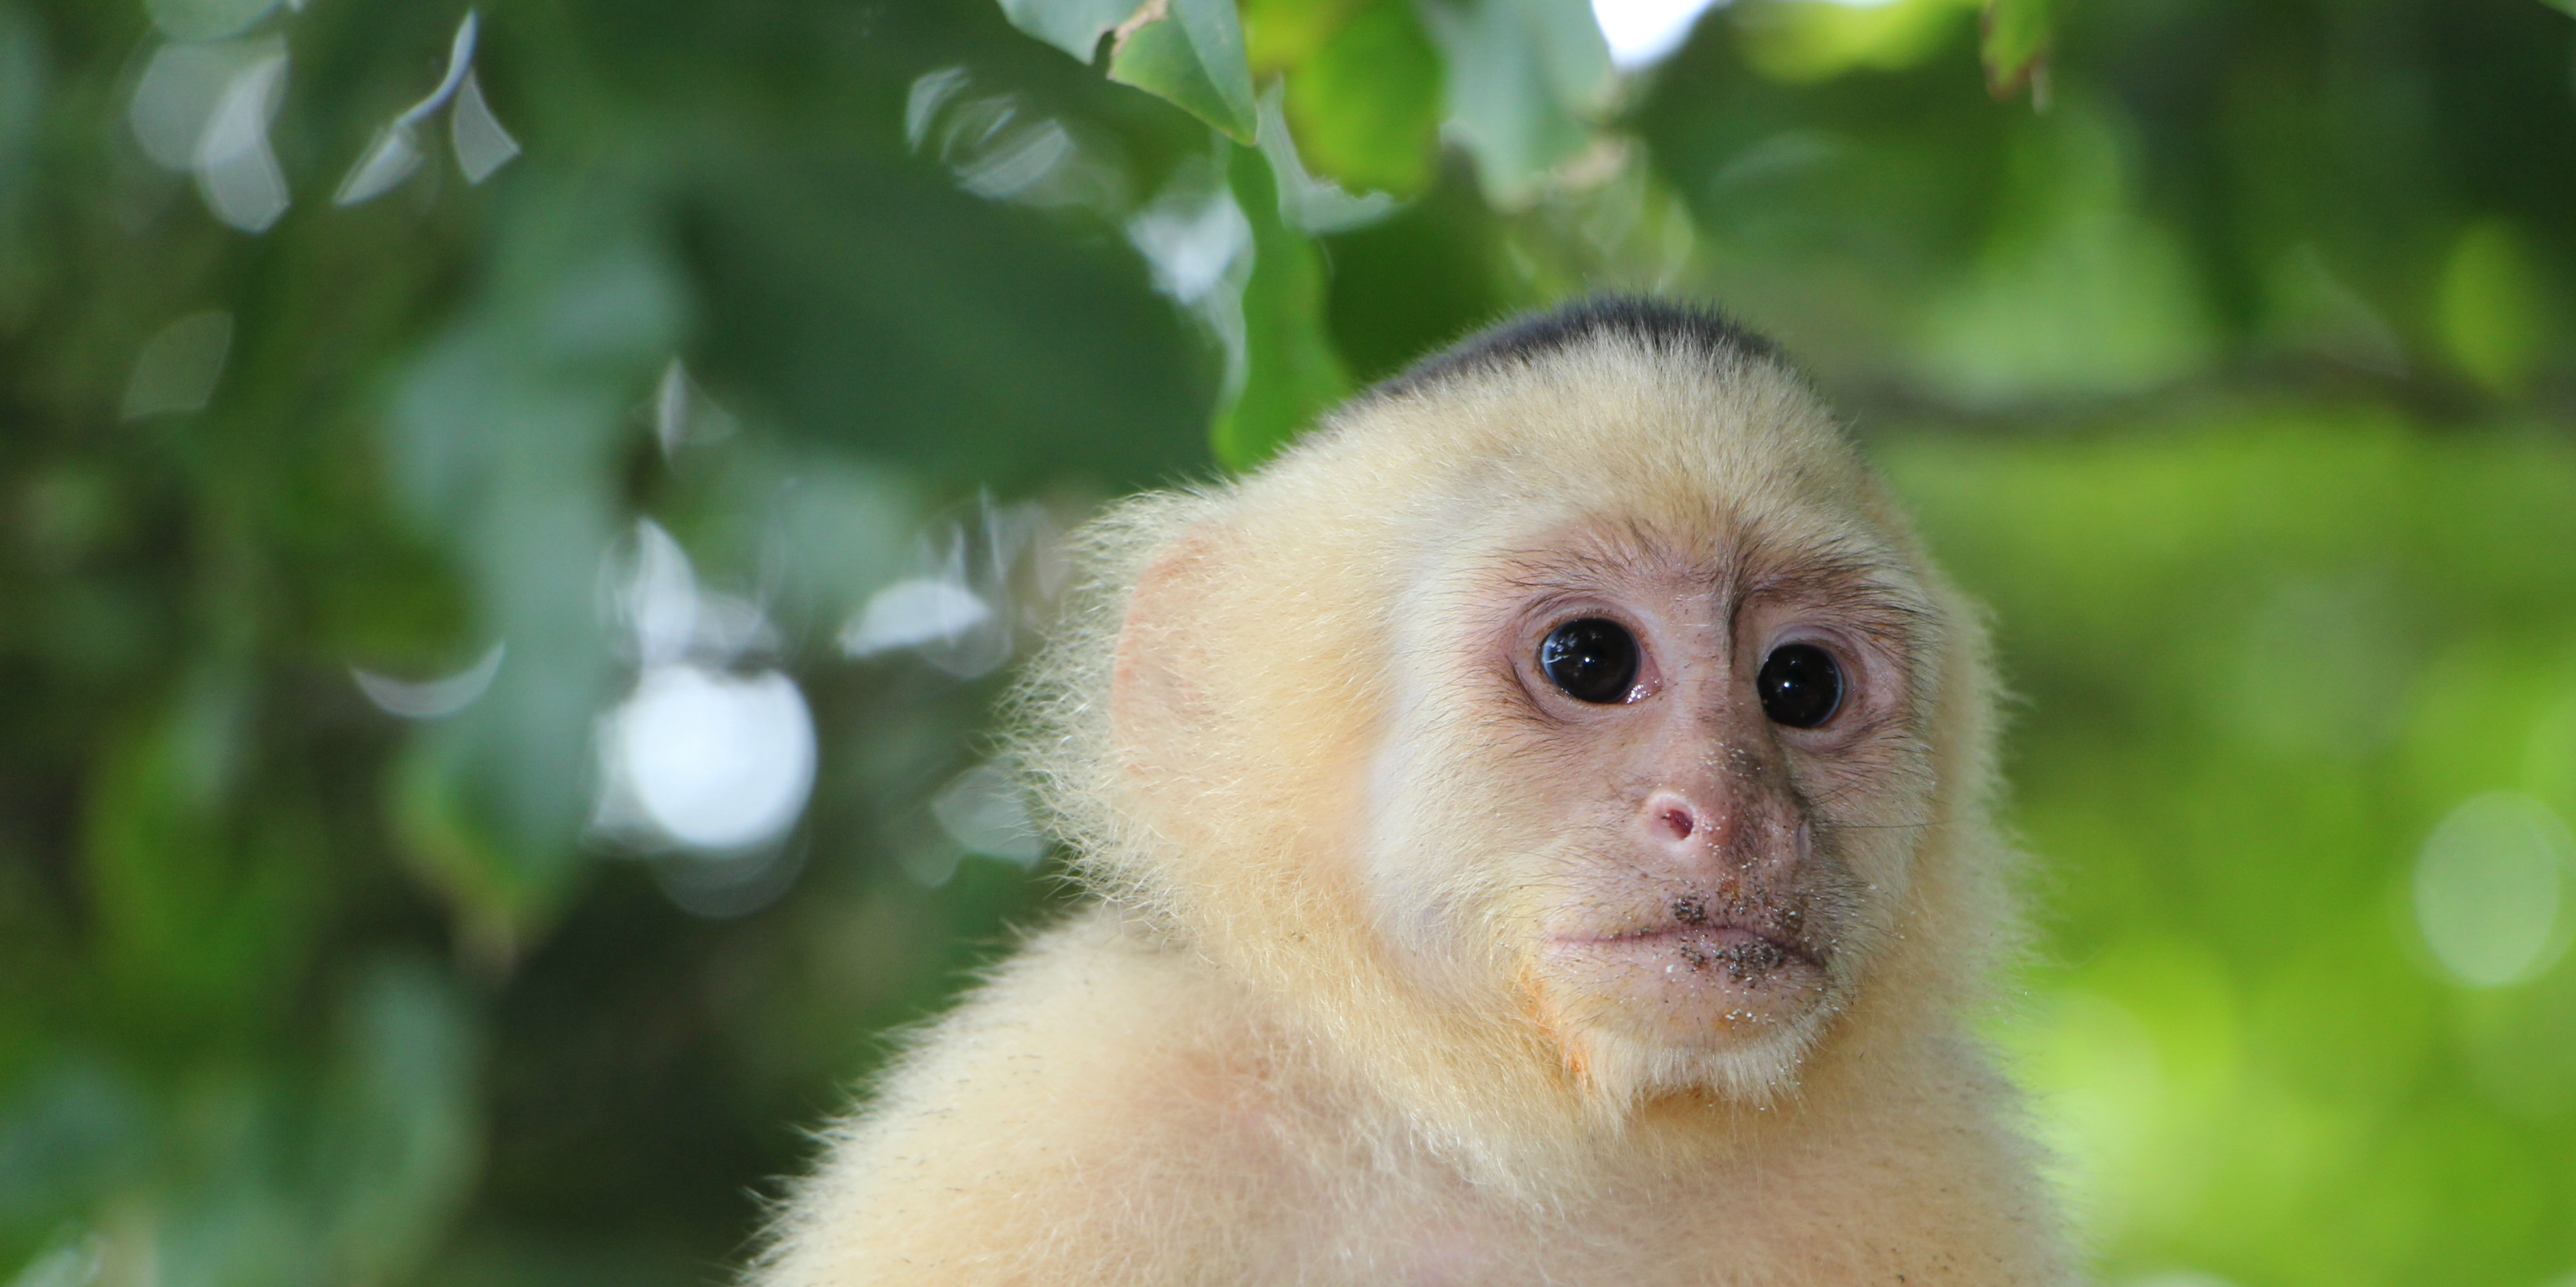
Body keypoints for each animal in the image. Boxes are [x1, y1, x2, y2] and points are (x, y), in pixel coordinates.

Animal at [752, 301, 2071, 1287]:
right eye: (1589, 660)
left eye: (1800, 684)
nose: (1734, 813)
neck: (1514, 1153)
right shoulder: (1062, 1122)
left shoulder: (1935, 1174)